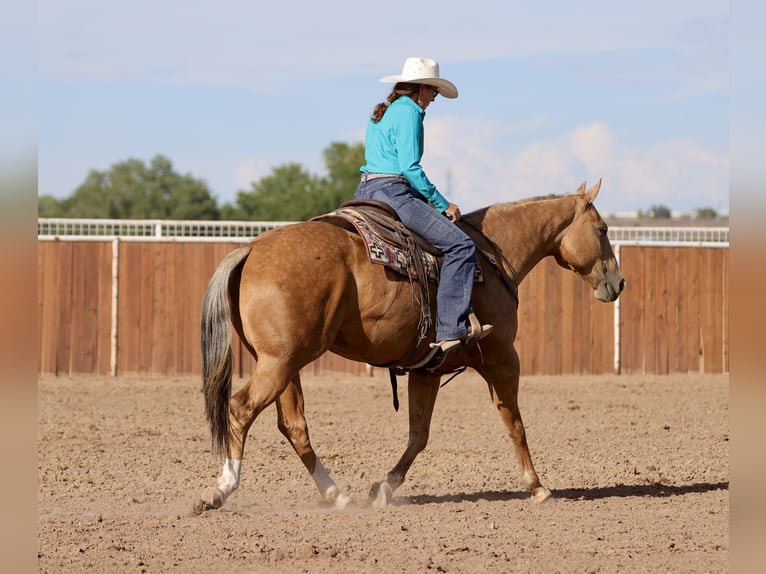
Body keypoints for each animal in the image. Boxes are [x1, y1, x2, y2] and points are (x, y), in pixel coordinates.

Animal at [194, 179, 624, 513]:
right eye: (603, 229)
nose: (618, 283)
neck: (491, 255)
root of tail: (250, 249)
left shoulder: (427, 369)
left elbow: (419, 434)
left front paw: (383, 488)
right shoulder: (503, 357)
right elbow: (514, 423)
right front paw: (537, 486)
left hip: (283, 363)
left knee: (293, 425)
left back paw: (338, 496)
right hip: (279, 362)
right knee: (241, 407)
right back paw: (220, 489)